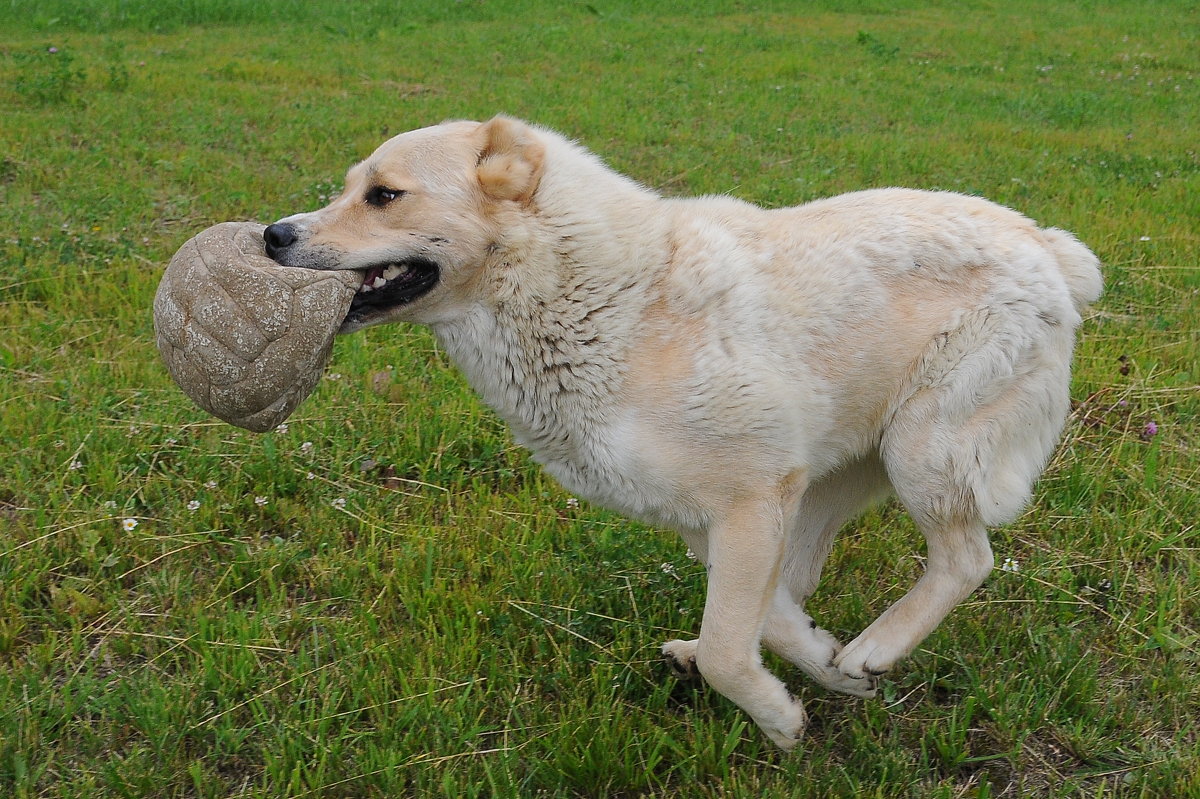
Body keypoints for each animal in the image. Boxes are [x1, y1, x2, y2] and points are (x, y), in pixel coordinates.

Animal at [260, 116, 1099, 748]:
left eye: (383, 196)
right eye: (347, 189)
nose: (271, 234)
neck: (603, 301)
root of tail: (1045, 244)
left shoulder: (751, 500)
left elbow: (735, 646)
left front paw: (784, 717)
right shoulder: (717, 516)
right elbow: (761, 620)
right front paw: (817, 668)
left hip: (921, 452)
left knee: (966, 559)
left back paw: (874, 647)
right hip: (836, 479)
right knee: (798, 585)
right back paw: (819, 656)